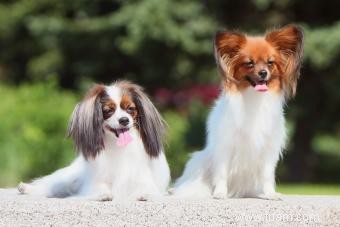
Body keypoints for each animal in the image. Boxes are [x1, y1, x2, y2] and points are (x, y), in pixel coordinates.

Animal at [174, 24, 304, 200]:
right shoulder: (225, 145)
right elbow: (222, 173)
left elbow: (267, 174)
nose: (263, 73)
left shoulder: (268, 148)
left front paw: (270, 194)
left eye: (270, 63)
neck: (254, 98)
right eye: (249, 63)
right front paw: (220, 193)